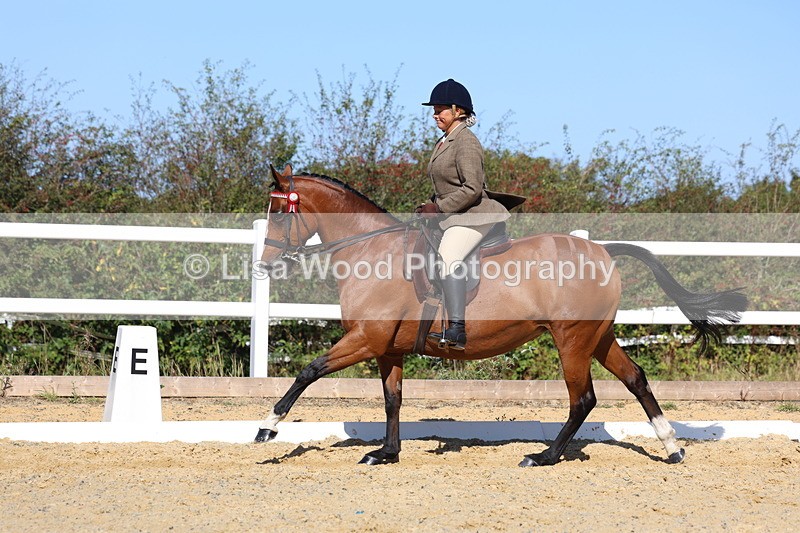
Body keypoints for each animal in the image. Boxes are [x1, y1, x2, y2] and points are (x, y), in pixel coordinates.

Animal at [255, 164, 747, 467]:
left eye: (279, 214)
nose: (265, 266)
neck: (369, 251)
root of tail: (602, 251)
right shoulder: (386, 348)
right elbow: (393, 399)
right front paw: (387, 453)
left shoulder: (365, 339)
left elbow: (309, 371)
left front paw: (268, 428)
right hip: (598, 337)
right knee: (636, 379)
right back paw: (672, 447)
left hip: (571, 340)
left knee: (583, 399)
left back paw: (544, 457)